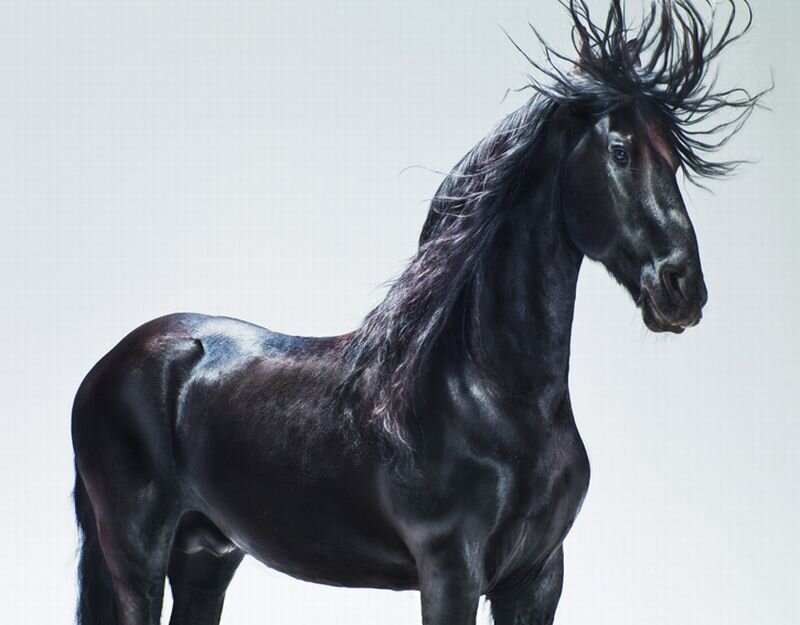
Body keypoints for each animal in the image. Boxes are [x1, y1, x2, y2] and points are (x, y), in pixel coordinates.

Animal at [71, 2, 765, 624]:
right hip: (137, 553)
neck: (486, 392)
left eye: (674, 161)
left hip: (207, 554)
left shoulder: (538, 578)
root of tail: (109, 365)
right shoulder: (451, 573)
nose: (683, 289)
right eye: (620, 151)